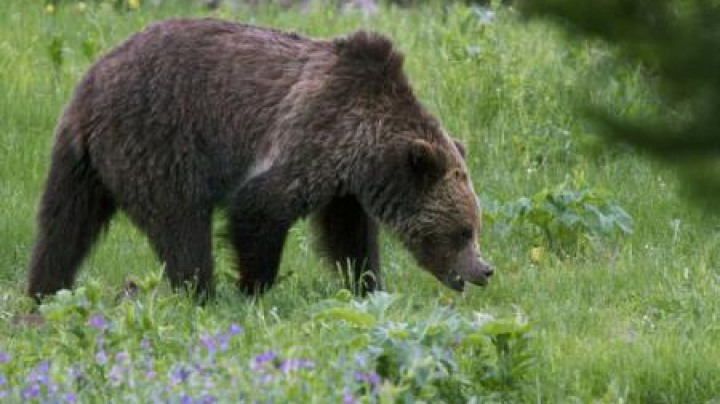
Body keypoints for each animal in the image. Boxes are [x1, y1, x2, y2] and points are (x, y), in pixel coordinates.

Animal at [25, 19, 492, 302]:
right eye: (462, 230)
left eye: (473, 226)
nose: (484, 270)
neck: (365, 149)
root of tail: (90, 87)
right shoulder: (312, 133)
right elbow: (259, 207)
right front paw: (255, 289)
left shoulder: (344, 185)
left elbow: (348, 235)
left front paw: (367, 284)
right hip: (157, 140)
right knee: (182, 225)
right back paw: (202, 294)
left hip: (81, 164)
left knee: (63, 227)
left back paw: (44, 292)